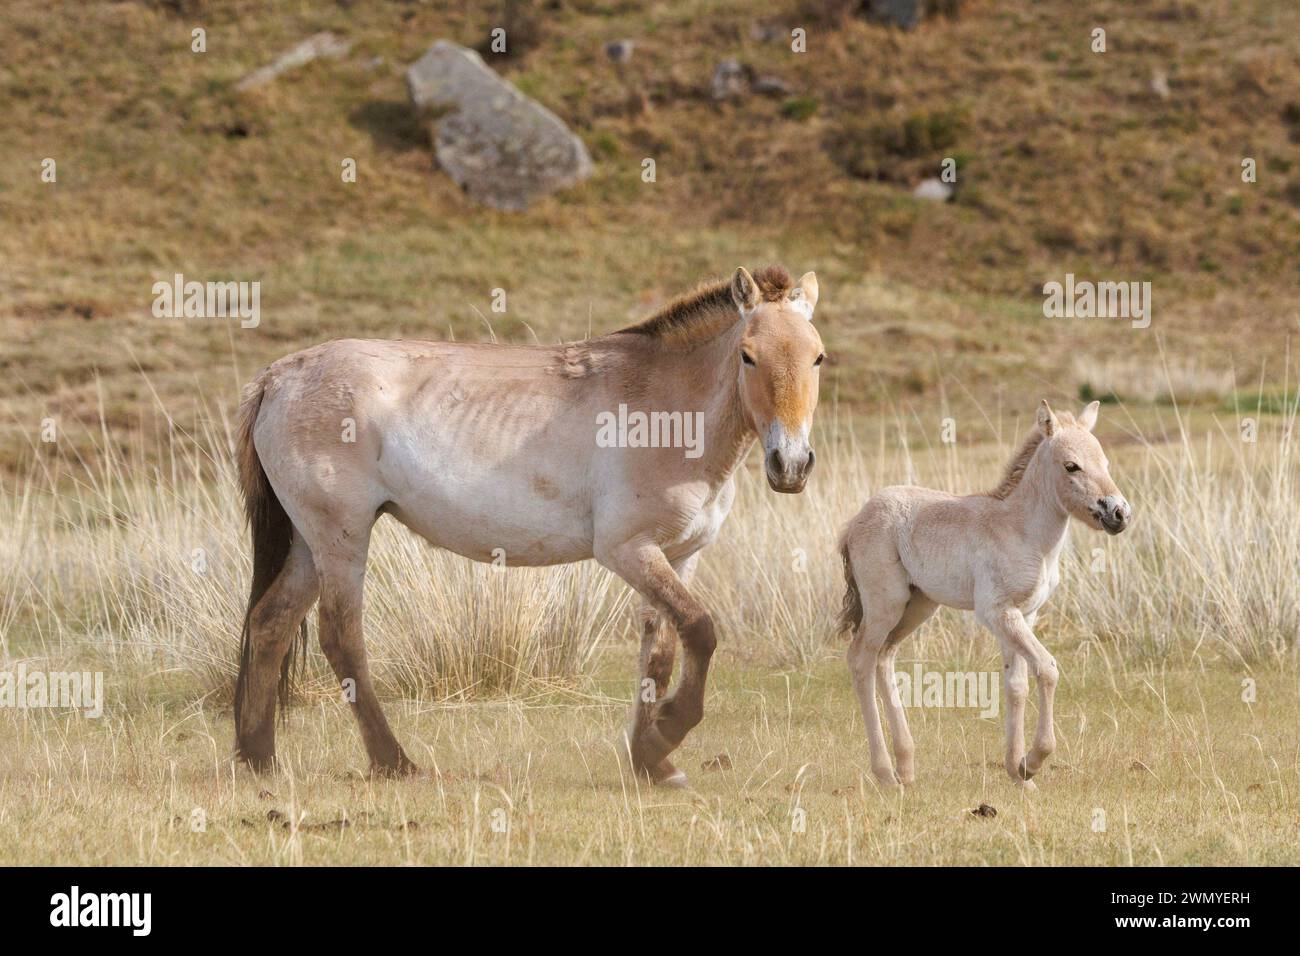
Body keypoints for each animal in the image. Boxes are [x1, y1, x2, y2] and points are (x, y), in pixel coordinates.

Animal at [232, 267, 821, 785]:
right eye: (748, 355)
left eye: (818, 357)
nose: (790, 465)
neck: (668, 408)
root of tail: (276, 377)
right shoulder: (628, 551)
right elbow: (700, 629)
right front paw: (666, 734)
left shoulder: (679, 555)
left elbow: (659, 653)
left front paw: (651, 760)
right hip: (342, 538)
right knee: (341, 636)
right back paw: (392, 760)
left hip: (310, 544)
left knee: (271, 623)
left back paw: (258, 756)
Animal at [842, 400, 1128, 790]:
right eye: (1072, 465)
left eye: (1106, 463)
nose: (1119, 513)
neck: (1022, 532)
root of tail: (855, 520)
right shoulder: (997, 612)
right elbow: (1047, 669)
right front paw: (1034, 761)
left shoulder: (1025, 614)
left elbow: (1017, 685)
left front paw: (1019, 774)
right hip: (884, 604)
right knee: (861, 660)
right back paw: (886, 774)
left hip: (917, 606)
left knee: (884, 658)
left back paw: (906, 767)